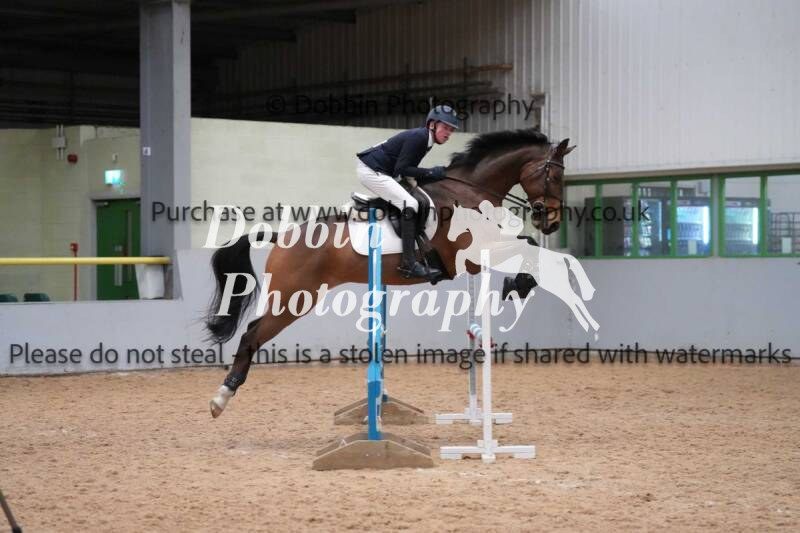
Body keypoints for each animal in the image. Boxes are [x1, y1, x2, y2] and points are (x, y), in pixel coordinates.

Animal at [205, 128, 574, 417]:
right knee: (252, 335)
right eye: (556, 176)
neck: (469, 191)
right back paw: (221, 398)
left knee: (252, 331)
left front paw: (518, 283)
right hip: (293, 299)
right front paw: (518, 284)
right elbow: (526, 246)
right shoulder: (469, 258)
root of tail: (283, 237)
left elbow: (528, 244)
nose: (552, 222)